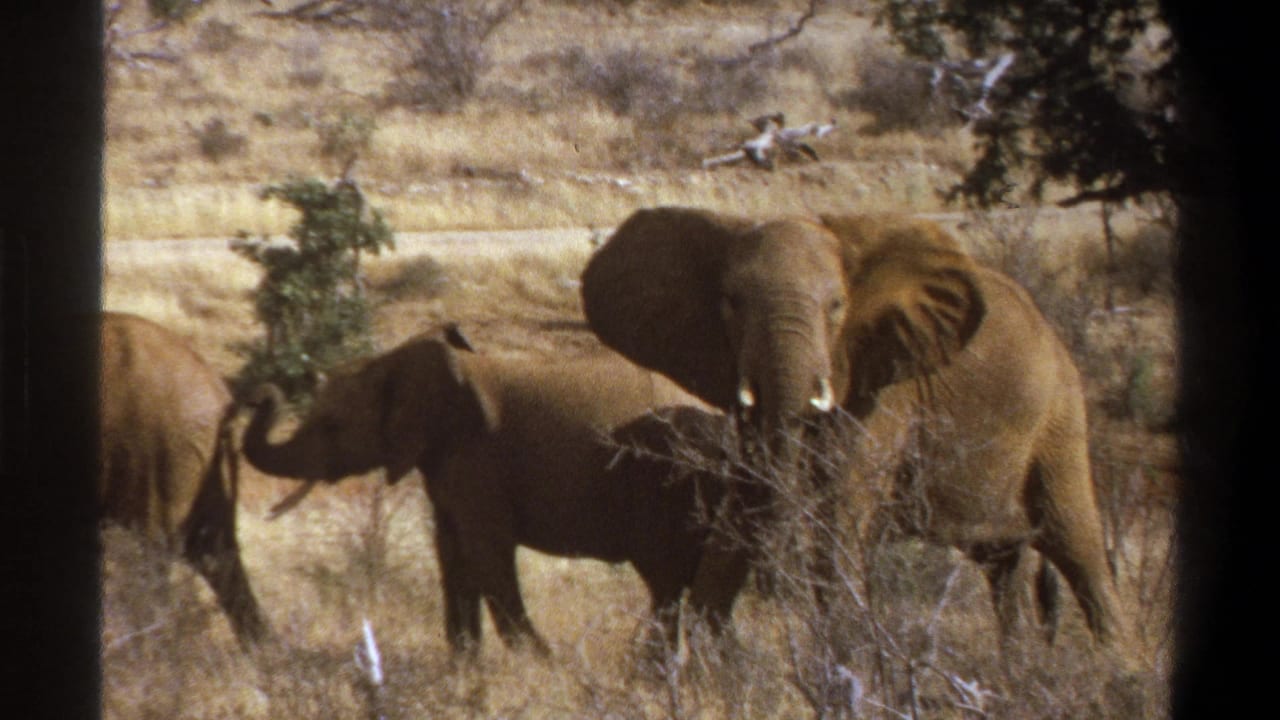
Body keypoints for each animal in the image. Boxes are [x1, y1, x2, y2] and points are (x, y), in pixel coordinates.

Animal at [239, 324, 734, 657]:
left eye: (331, 425)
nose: (260, 393)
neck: (397, 361)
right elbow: (451, 553)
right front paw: (466, 667)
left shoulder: (476, 459)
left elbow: (485, 553)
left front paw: (542, 665)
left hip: (673, 482)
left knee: (666, 581)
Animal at [579, 206, 1130, 653]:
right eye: (730, 302)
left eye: (837, 307)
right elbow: (746, 505)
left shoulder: (883, 389)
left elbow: (838, 515)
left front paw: (847, 664)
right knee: (1004, 565)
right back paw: (1019, 671)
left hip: (1059, 416)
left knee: (1077, 545)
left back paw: (1113, 668)